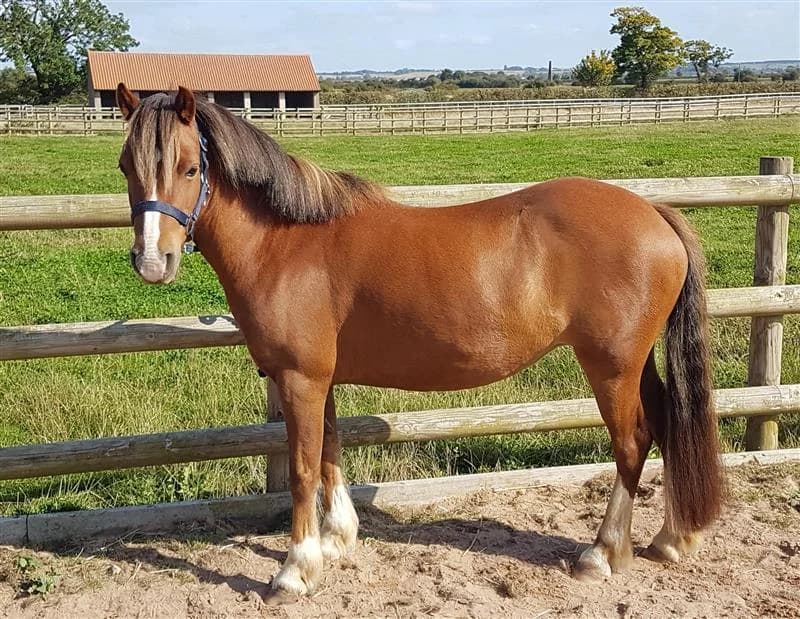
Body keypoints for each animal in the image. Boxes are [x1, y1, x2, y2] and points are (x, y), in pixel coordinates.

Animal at [115, 82, 723, 601]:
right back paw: (672, 539)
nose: (152, 262)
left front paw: (295, 569)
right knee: (667, 424)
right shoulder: (320, 379)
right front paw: (337, 541)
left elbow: (304, 468)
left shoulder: (300, 378)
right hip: (637, 363)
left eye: (191, 167)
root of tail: (654, 213)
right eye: (126, 166)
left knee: (632, 442)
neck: (285, 245)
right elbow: (330, 450)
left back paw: (601, 553)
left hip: (611, 367)